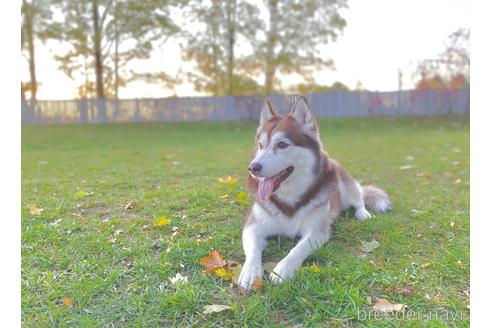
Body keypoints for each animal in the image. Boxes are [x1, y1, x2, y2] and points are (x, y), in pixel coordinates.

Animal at [238, 96, 392, 290]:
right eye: (260, 145)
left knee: (359, 200)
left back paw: (362, 213)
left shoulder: (317, 231)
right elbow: (252, 250)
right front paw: (250, 272)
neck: (289, 196)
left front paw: (283, 269)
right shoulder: (253, 226)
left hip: (348, 187)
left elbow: (298, 249)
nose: (253, 167)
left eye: (282, 144)